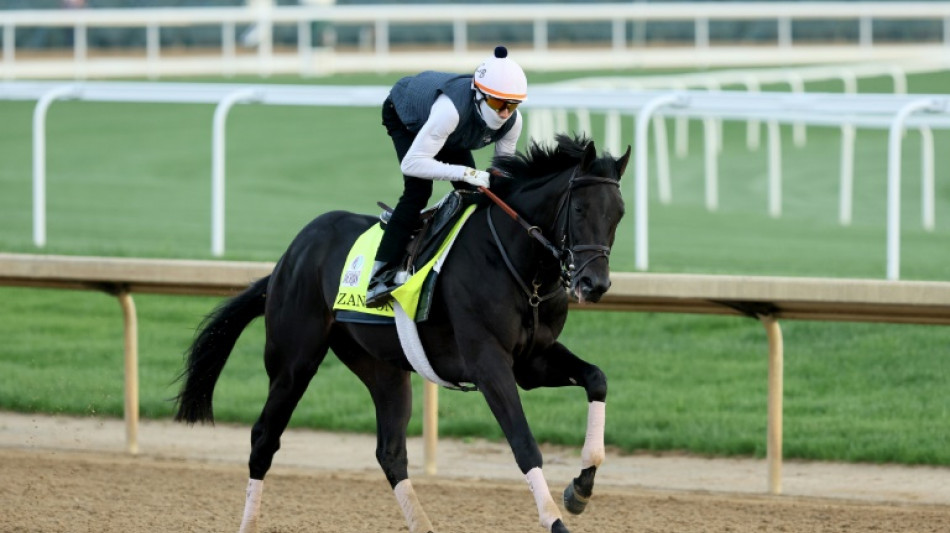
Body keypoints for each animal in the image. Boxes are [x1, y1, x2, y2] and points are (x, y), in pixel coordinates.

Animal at [175, 134, 632, 532]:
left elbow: (597, 379)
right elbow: (523, 442)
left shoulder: (532, 360)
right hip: (293, 363)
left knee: (390, 452)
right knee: (263, 438)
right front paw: (555, 520)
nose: (595, 284)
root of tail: (289, 257)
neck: (522, 269)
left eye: (619, 213)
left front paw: (581, 488)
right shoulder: (488, 362)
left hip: (383, 368)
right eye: (579, 210)